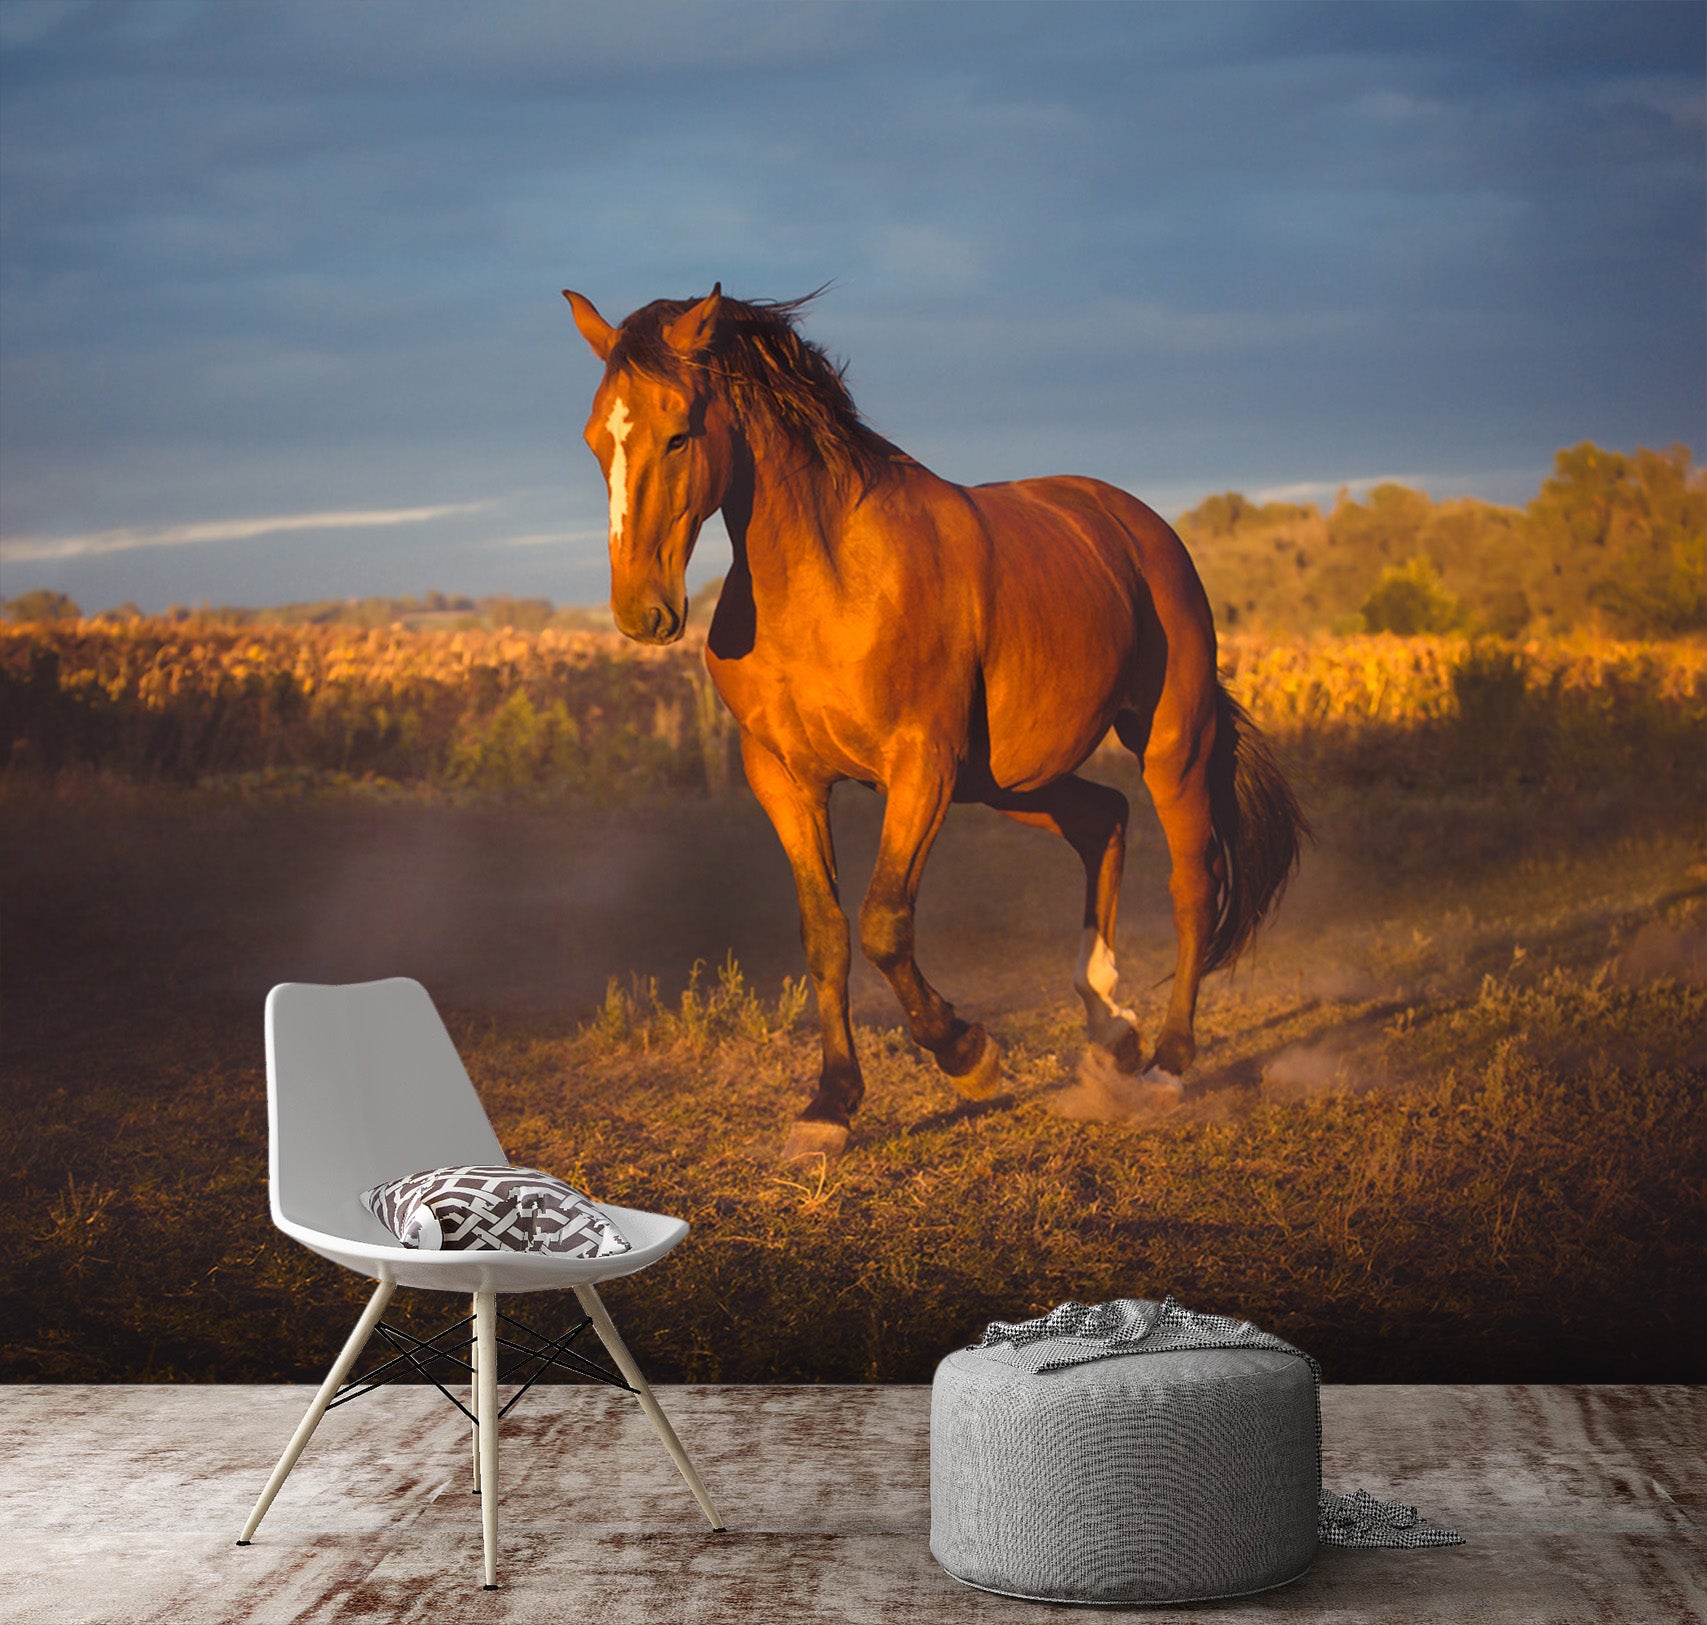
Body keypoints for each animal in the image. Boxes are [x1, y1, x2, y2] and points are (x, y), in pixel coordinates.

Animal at [563, 284, 1308, 1160]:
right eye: (595, 438)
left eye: (678, 431)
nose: (641, 611)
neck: (828, 580)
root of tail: (1139, 527)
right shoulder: (784, 778)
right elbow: (825, 932)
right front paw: (829, 1106)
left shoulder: (920, 766)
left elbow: (884, 922)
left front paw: (968, 1055)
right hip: (1010, 780)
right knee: (1104, 821)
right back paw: (1111, 1028)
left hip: (1168, 745)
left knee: (1192, 882)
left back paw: (1165, 1063)